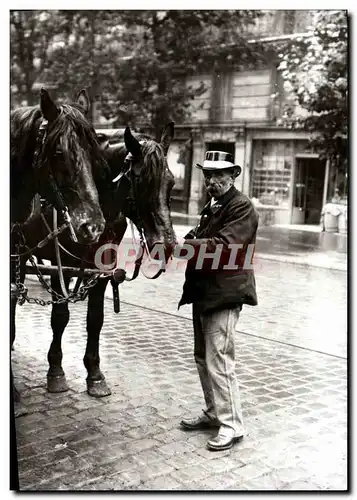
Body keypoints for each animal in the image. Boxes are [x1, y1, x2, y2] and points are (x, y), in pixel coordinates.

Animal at [17, 122, 177, 398]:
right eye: (140, 181)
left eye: (171, 182)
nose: (165, 245)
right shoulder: (62, 268)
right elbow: (60, 317)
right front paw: (56, 371)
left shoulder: (100, 272)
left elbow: (95, 320)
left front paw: (94, 374)